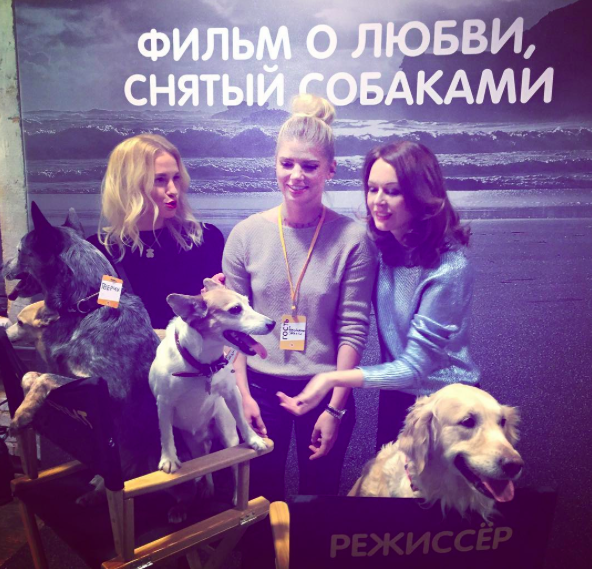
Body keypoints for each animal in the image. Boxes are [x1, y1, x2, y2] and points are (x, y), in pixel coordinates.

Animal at [2, 203, 161, 501]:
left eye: (18, 251)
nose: (2, 265)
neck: (86, 306)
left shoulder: (108, 388)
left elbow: (45, 377)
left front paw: (23, 413)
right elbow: (31, 374)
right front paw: (28, 400)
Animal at [149, 280, 275, 520]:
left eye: (249, 303)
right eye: (235, 309)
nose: (272, 323)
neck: (201, 365)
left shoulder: (232, 393)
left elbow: (244, 422)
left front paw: (254, 439)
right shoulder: (163, 404)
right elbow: (165, 433)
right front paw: (169, 459)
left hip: (227, 434)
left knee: (234, 466)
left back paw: (235, 495)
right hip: (193, 443)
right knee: (204, 461)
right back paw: (206, 487)